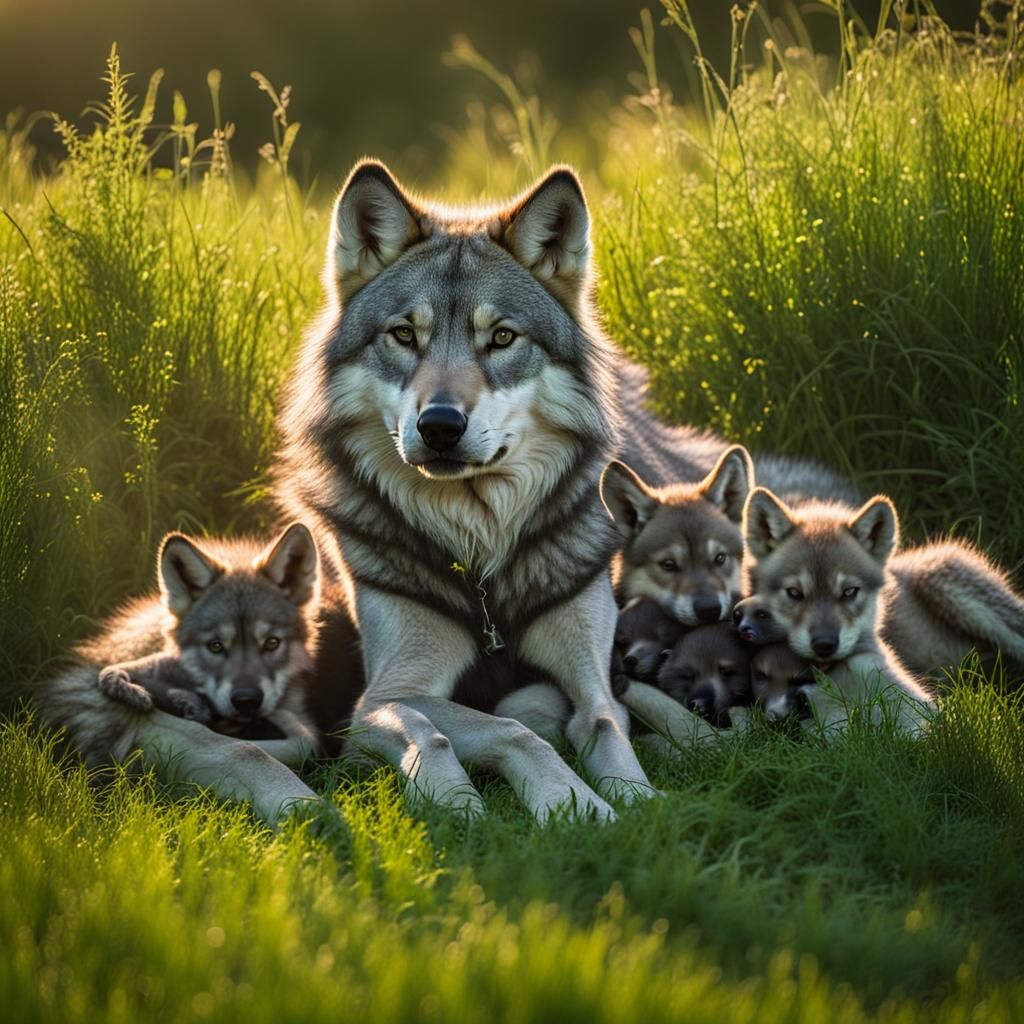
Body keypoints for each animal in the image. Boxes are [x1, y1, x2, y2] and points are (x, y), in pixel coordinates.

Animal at [269, 160, 858, 822]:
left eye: (502, 338)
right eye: (403, 335)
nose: (440, 425)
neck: (484, 564)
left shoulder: (594, 677)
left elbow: (602, 723)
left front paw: (631, 801)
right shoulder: (383, 696)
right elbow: (489, 729)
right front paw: (519, 798)